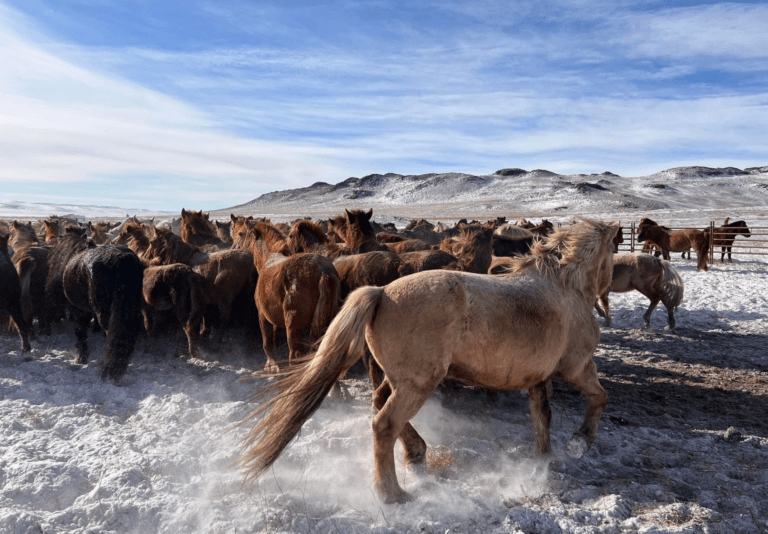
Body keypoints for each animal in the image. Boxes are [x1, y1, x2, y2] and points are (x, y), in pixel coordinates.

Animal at [236, 221, 341, 372]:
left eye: (241, 233)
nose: (235, 248)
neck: (269, 260)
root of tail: (323, 271)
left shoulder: (263, 315)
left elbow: (267, 343)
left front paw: (272, 366)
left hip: (293, 324)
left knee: (295, 355)